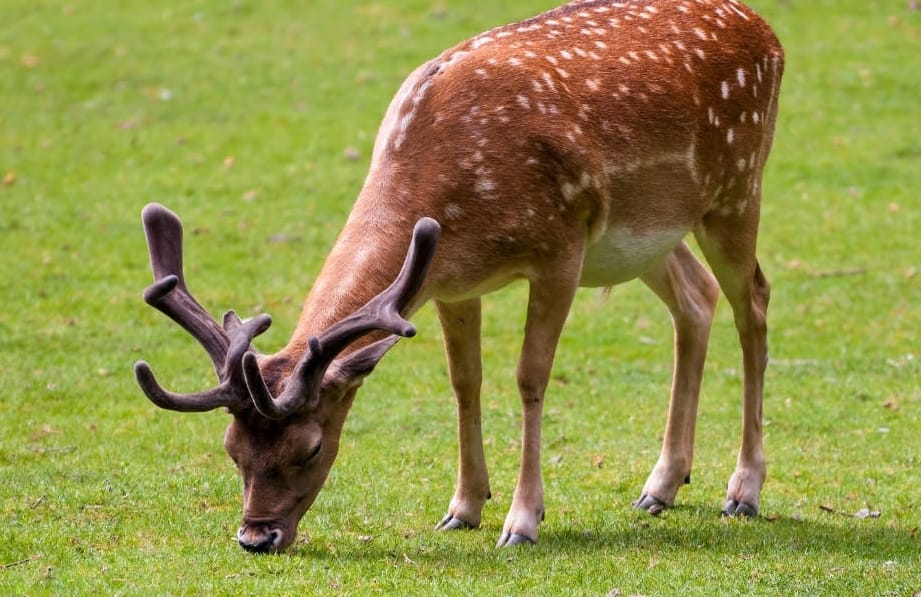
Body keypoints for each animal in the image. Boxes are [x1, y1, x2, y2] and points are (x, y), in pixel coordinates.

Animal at [135, 0, 784, 556]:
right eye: (231, 449)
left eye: (310, 447)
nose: (256, 537)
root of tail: (766, 29)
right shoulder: (449, 280)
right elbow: (464, 380)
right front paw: (464, 507)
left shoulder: (561, 250)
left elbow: (529, 377)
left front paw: (522, 521)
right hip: (646, 234)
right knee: (695, 299)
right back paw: (661, 485)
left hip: (737, 188)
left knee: (753, 300)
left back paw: (743, 490)